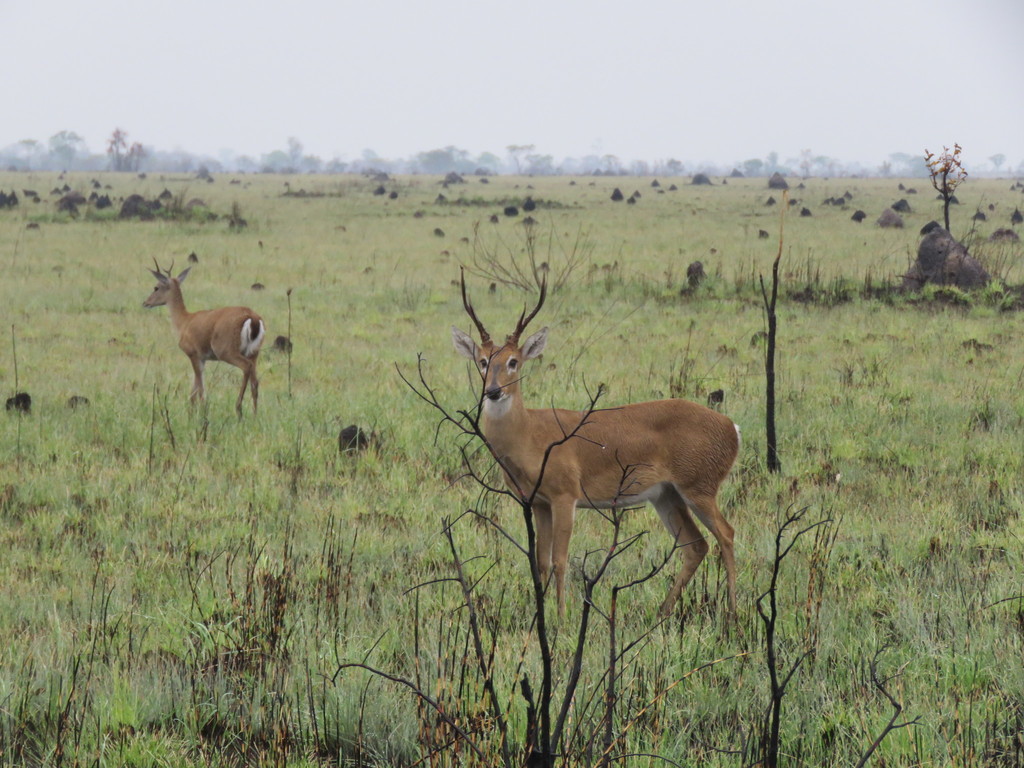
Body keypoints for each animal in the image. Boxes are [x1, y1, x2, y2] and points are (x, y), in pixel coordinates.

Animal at [143, 260, 266, 416]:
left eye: (156, 287)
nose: (145, 302)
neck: (184, 322)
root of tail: (253, 318)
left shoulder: (193, 353)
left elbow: (199, 387)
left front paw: (201, 413)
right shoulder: (203, 358)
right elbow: (194, 390)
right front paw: (191, 413)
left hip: (226, 350)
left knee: (246, 367)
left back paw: (238, 408)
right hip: (254, 352)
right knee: (255, 383)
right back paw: (255, 414)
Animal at [451, 272, 740, 618]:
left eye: (513, 361)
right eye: (482, 361)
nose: (494, 391)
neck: (531, 436)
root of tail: (732, 428)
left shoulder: (565, 494)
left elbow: (561, 561)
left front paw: (562, 619)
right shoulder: (538, 502)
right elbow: (541, 562)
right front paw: (541, 616)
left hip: (698, 485)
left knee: (726, 534)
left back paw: (734, 611)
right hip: (666, 494)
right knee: (696, 545)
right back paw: (662, 612)